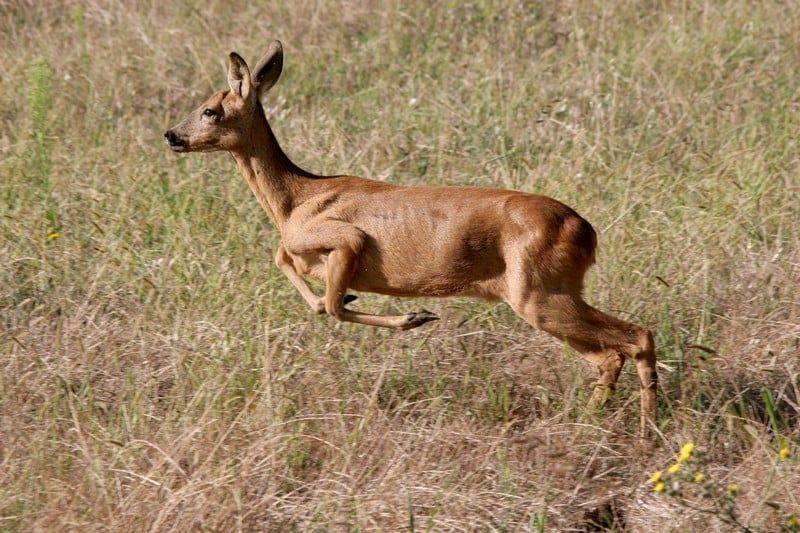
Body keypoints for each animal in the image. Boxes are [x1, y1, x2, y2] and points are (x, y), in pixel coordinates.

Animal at [162, 41, 656, 438]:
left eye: (210, 108)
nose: (172, 135)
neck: (296, 200)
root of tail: (586, 230)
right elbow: (295, 270)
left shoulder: (348, 239)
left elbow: (330, 303)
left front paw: (415, 316)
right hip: (554, 294)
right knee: (611, 355)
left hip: (540, 295)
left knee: (635, 337)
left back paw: (639, 432)